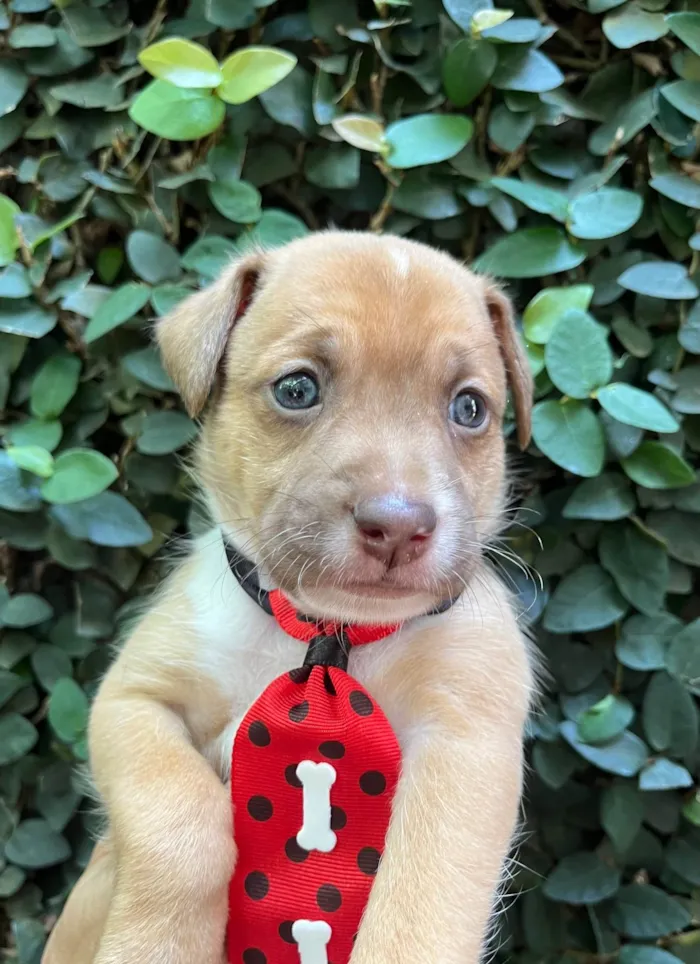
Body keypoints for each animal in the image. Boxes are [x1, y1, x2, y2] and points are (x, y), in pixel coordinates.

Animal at [43, 232, 536, 964]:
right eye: (297, 388)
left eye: (470, 408)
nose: (397, 527)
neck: (329, 633)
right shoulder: (131, 704)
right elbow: (178, 822)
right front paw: (155, 944)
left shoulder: (466, 749)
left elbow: (419, 905)